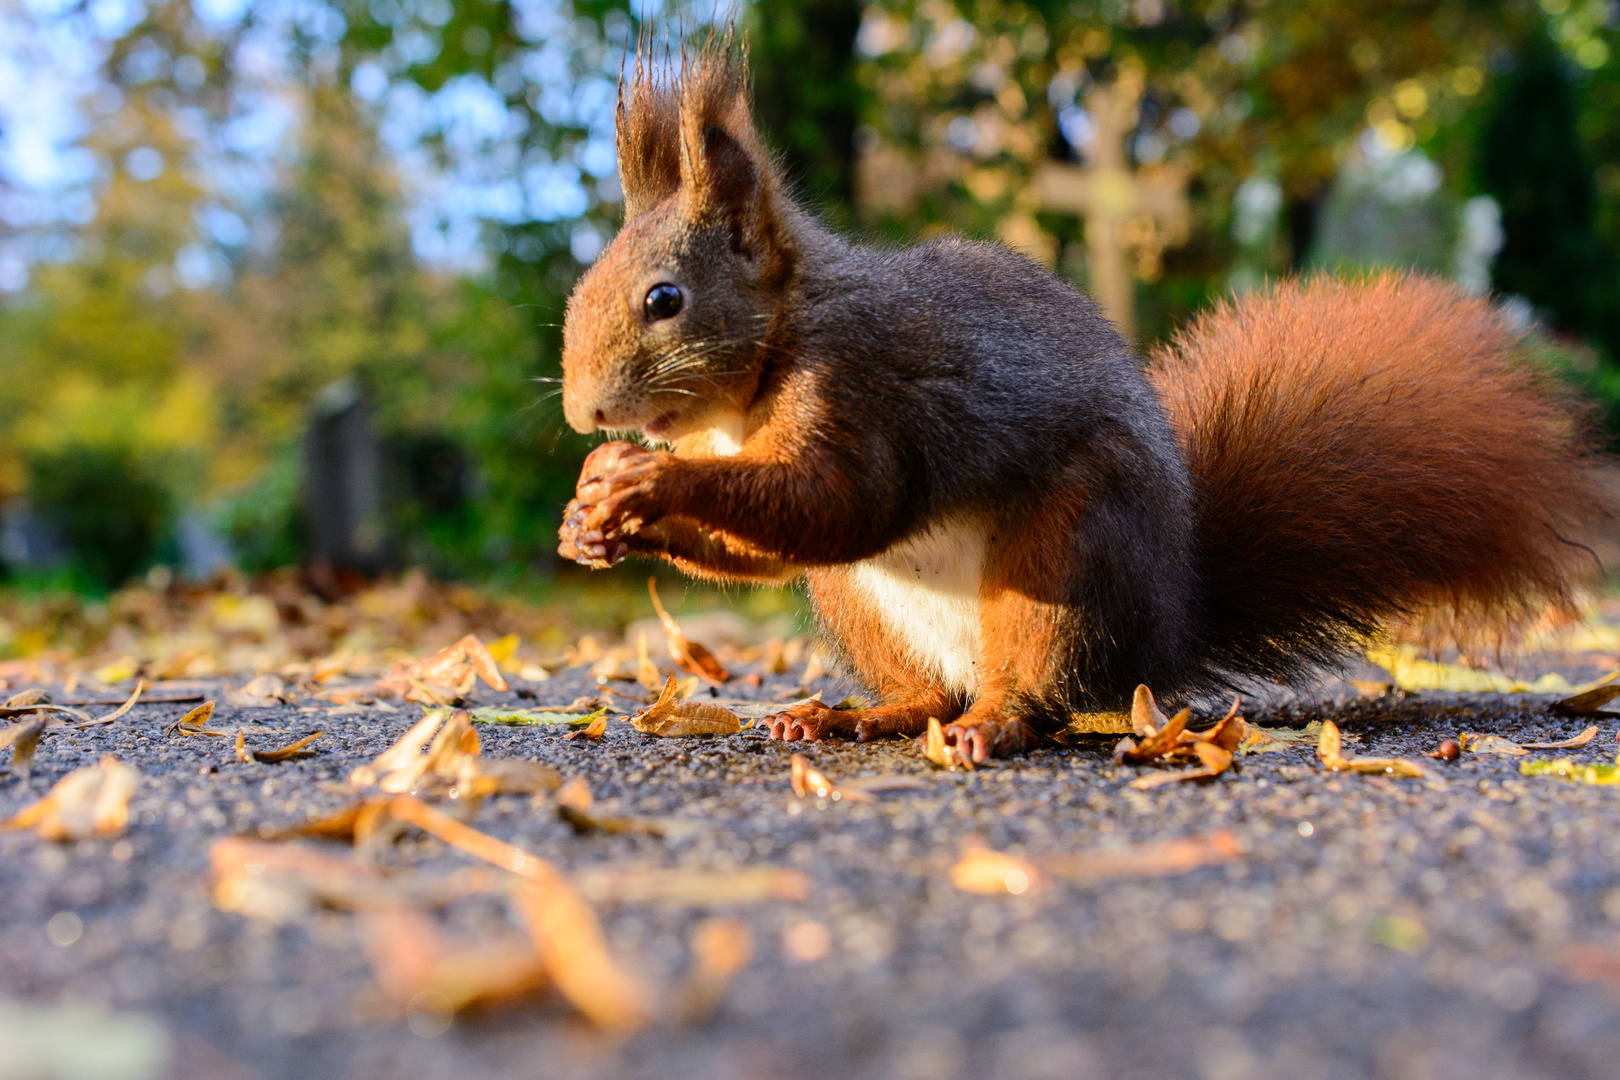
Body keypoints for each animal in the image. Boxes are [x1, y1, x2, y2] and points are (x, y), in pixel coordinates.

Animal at [554, 42, 1607, 761]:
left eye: (664, 299)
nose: (583, 417)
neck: (768, 362)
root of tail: (1166, 626)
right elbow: (770, 551)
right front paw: (592, 515)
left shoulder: (863, 392)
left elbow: (841, 503)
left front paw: (643, 484)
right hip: (862, 604)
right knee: (928, 694)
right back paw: (850, 715)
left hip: (1063, 552)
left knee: (1035, 692)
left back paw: (993, 725)